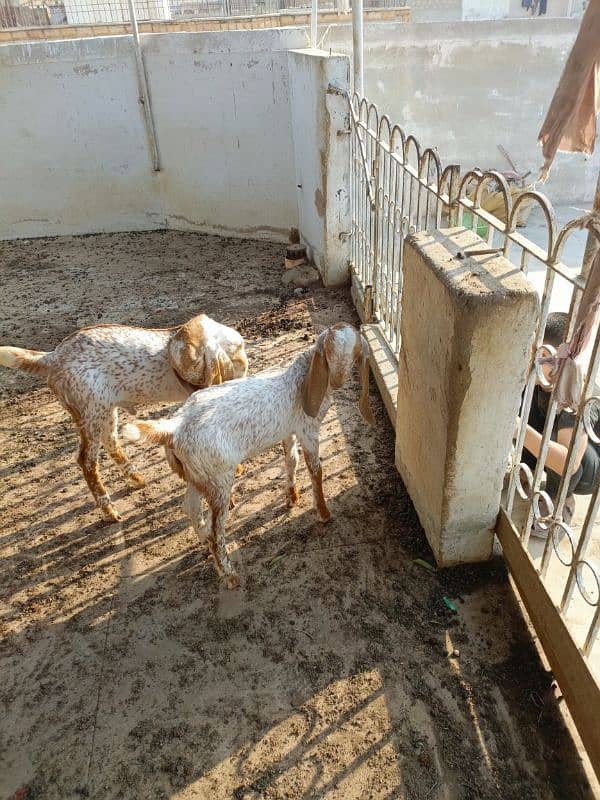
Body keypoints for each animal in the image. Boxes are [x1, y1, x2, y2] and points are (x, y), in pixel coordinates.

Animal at [0, 312, 247, 520]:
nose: (193, 391)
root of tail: (53, 357)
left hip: (105, 411)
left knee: (111, 442)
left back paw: (136, 478)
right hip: (91, 412)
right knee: (86, 460)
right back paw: (109, 510)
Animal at [123, 322, 376, 592]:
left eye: (354, 349)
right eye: (329, 350)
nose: (339, 379)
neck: (303, 377)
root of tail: (174, 427)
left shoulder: (289, 430)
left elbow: (291, 461)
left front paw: (292, 497)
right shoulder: (309, 431)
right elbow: (315, 470)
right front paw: (324, 514)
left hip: (198, 474)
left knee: (190, 507)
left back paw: (203, 541)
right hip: (219, 480)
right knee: (216, 533)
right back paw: (229, 575)